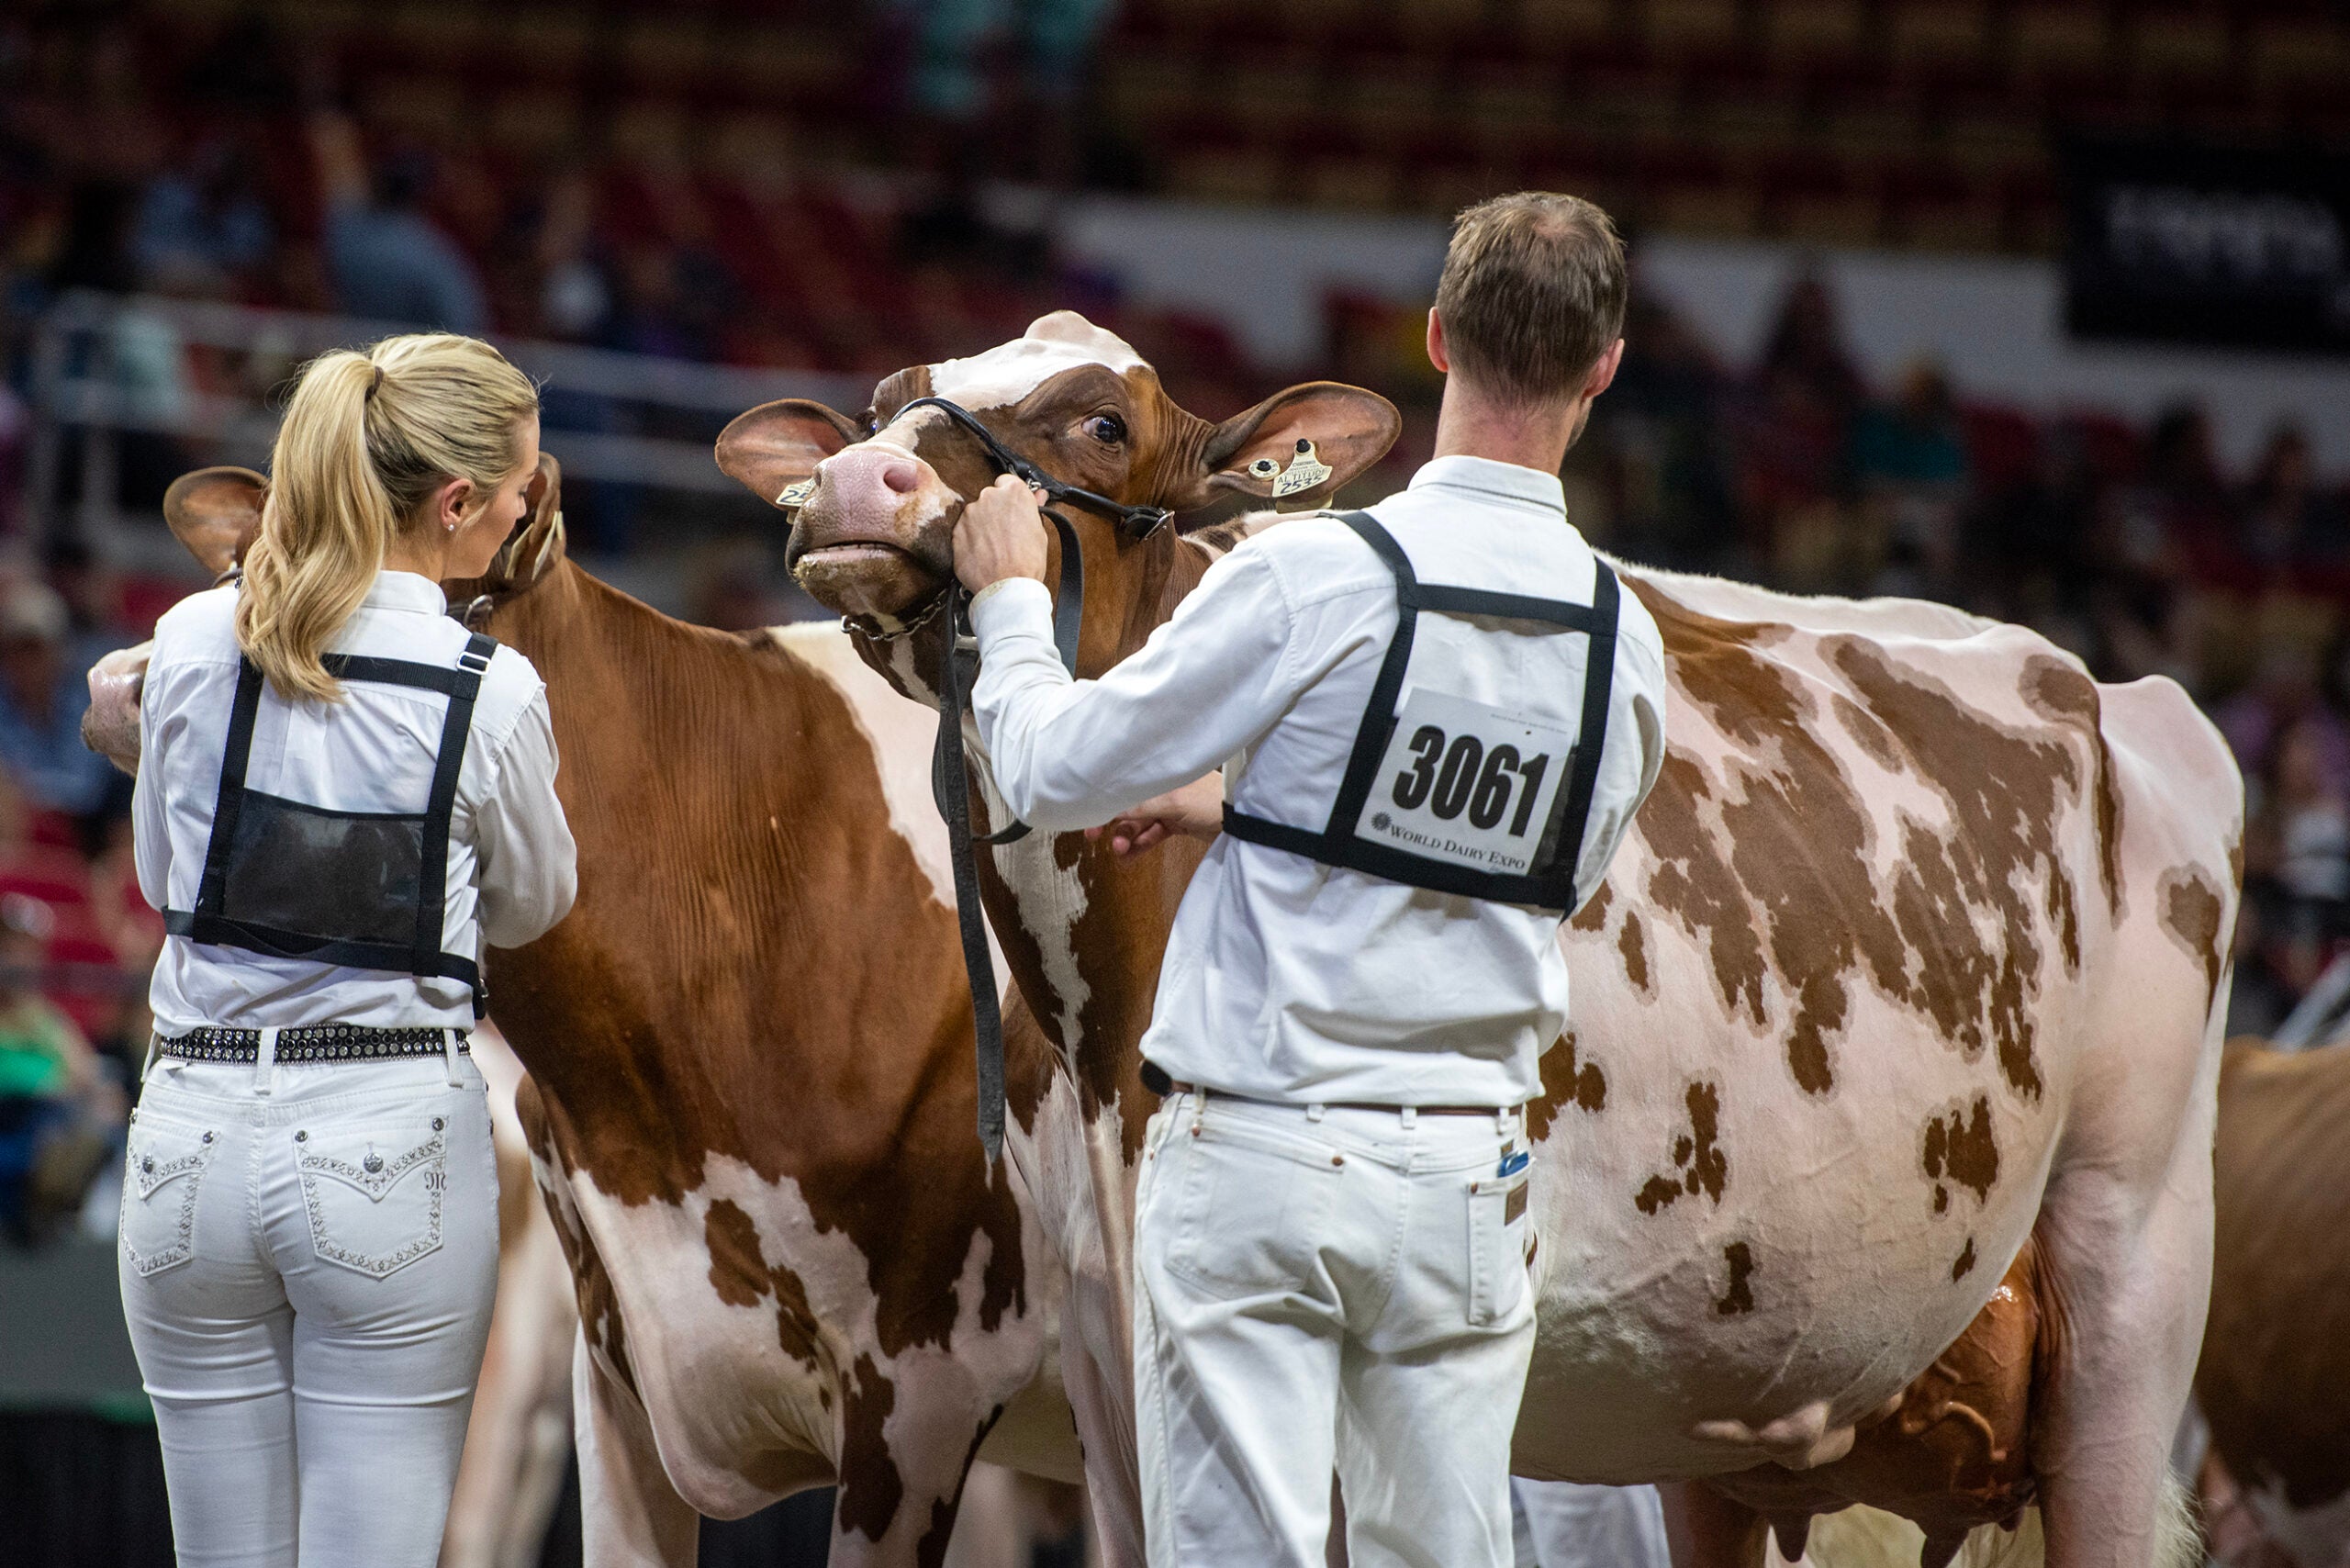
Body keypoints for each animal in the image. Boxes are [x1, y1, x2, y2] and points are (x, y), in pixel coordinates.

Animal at [716, 311, 2242, 1568]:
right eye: (881, 400)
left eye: (1098, 419)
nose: (860, 484)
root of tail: (2115, 687)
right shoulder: (1108, 1361)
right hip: (1740, 1407)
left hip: (2134, 1273)